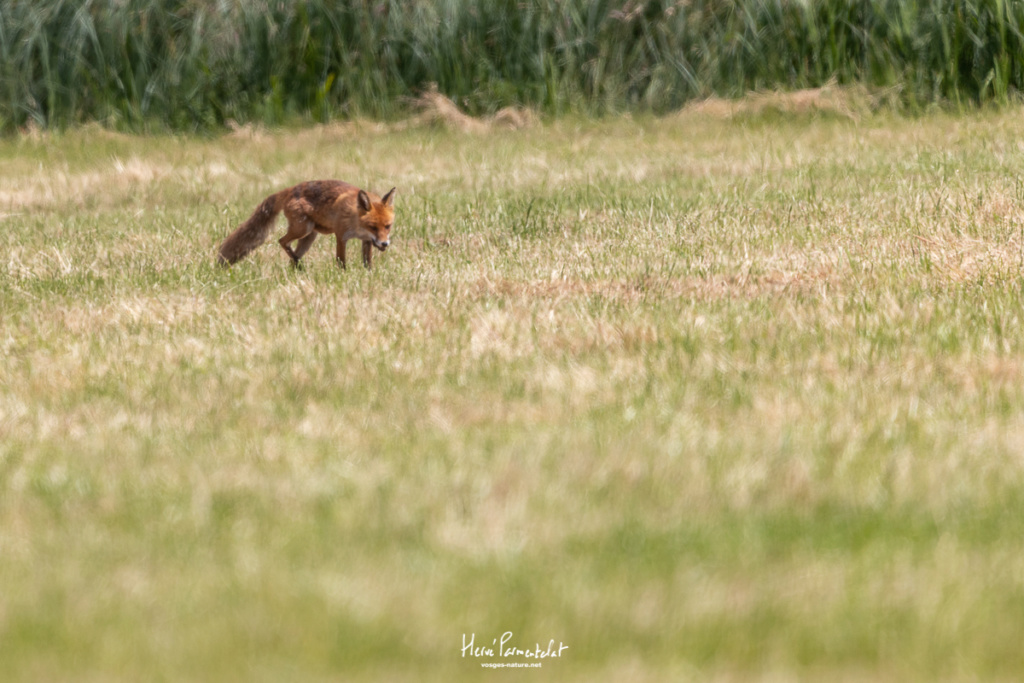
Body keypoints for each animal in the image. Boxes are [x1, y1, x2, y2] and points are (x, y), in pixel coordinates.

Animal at [220, 181, 395, 270]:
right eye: (373, 227)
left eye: (387, 226)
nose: (385, 243)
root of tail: (290, 189)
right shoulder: (341, 236)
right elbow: (341, 261)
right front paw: (343, 275)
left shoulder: (367, 241)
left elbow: (367, 262)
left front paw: (369, 274)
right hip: (303, 229)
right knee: (282, 241)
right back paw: (298, 264)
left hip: (309, 237)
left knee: (290, 255)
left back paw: (296, 267)